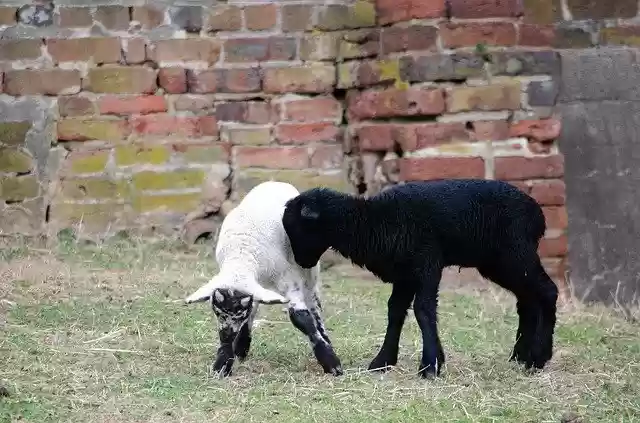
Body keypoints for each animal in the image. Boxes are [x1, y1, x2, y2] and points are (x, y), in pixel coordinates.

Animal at [184, 181, 342, 377]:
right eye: (216, 311)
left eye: (240, 313)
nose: (227, 335)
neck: (242, 254)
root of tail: (275, 182)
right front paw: (223, 363)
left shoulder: (289, 279)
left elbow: (302, 318)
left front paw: (331, 362)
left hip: (309, 273)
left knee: (314, 306)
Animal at [282, 178, 559, 379]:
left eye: (298, 227)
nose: (302, 263)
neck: (372, 221)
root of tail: (538, 214)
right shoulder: (405, 274)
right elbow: (395, 311)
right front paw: (383, 361)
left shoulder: (427, 263)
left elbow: (423, 310)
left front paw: (429, 366)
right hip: (498, 263)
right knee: (527, 300)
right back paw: (520, 356)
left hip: (516, 254)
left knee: (548, 292)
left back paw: (538, 358)